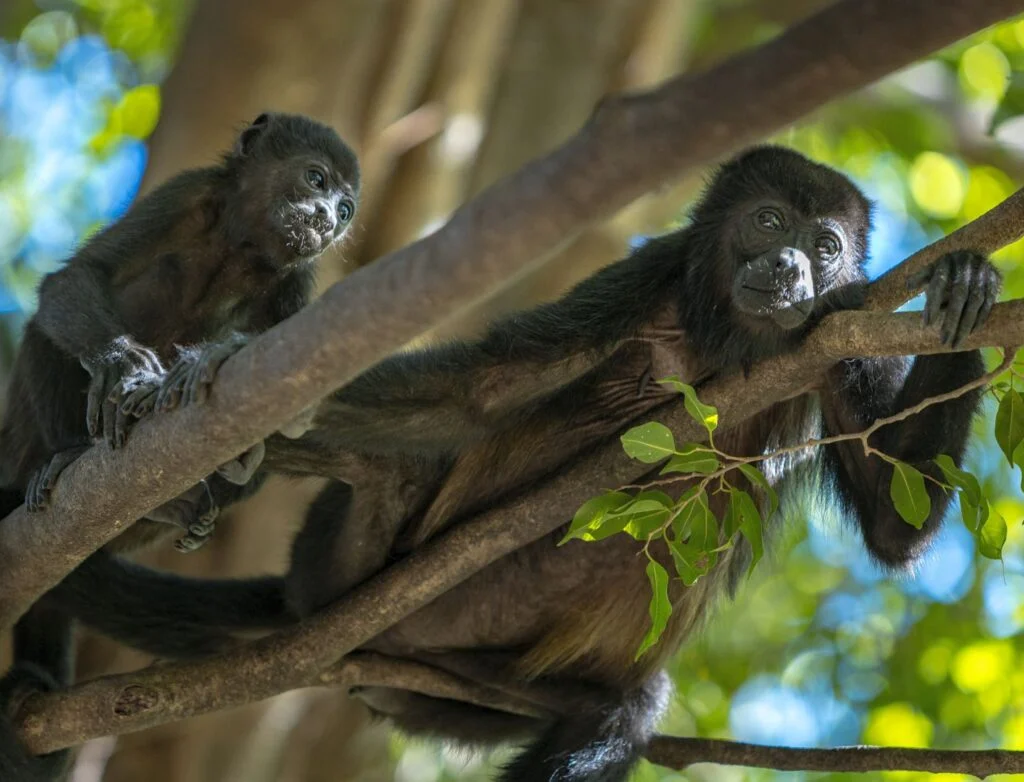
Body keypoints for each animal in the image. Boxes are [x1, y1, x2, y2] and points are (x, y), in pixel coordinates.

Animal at [0, 111, 360, 780]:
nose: (328, 219)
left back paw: (179, 504)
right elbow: (73, 281)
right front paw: (122, 366)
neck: (243, 244)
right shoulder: (187, 195)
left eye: (346, 209)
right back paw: (65, 457)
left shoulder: (297, 283)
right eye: (317, 179)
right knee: (44, 330)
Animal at [37, 147, 997, 782]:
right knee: (387, 469)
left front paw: (971, 292)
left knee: (623, 711)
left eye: (827, 245)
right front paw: (223, 368)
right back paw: (214, 477)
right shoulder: (645, 280)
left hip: (469, 692)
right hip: (340, 573)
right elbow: (476, 393)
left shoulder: (845, 322)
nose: (793, 264)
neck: (733, 337)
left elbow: (897, 523)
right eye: (768, 222)